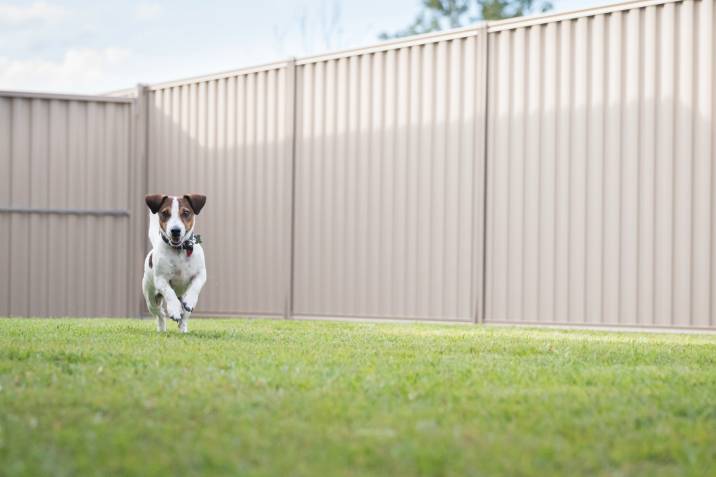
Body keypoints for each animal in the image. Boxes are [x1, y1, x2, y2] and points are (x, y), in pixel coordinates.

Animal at [141, 192, 206, 330]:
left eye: (186, 212)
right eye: (165, 213)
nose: (175, 230)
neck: (180, 249)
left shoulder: (201, 274)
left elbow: (195, 286)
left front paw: (190, 300)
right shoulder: (161, 279)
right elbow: (169, 292)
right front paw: (174, 309)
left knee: (184, 317)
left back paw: (183, 328)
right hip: (151, 298)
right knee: (160, 315)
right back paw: (163, 327)